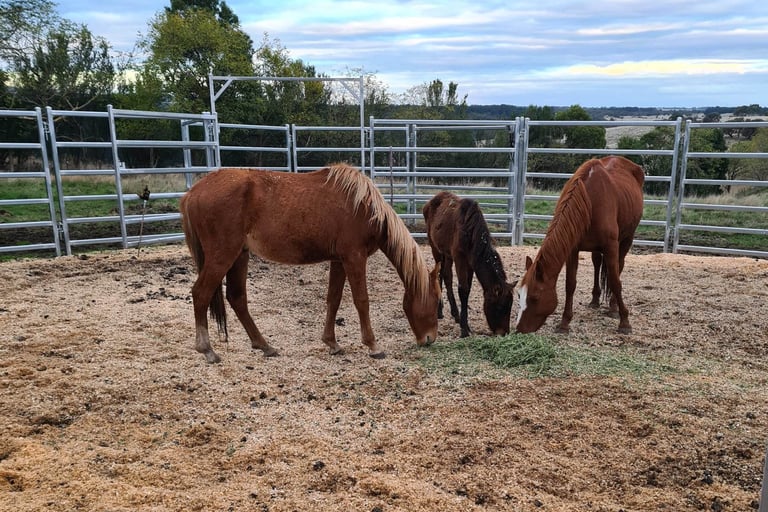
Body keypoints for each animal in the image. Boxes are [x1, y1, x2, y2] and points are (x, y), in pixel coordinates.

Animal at [179, 164, 441, 363]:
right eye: (438, 302)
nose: (429, 339)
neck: (364, 207)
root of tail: (193, 192)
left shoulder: (339, 260)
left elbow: (333, 300)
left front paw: (332, 343)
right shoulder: (354, 258)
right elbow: (362, 301)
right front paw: (373, 345)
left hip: (240, 256)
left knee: (237, 298)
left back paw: (264, 346)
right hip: (222, 256)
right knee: (201, 293)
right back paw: (207, 350)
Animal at [423, 191, 517, 338]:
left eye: (510, 305)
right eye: (500, 307)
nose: (504, 332)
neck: (471, 233)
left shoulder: (471, 263)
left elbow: (468, 288)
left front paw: (465, 323)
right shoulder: (459, 258)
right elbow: (463, 289)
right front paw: (464, 329)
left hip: (447, 254)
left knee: (446, 276)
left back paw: (454, 313)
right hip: (435, 248)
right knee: (438, 274)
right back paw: (439, 311)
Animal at [515, 155, 644, 335]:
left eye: (535, 297)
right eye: (519, 295)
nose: (519, 329)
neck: (590, 202)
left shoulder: (611, 246)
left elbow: (615, 281)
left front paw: (624, 321)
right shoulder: (573, 249)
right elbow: (570, 284)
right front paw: (564, 323)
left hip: (627, 239)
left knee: (619, 266)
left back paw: (613, 307)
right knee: (597, 263)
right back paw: (595, 300)